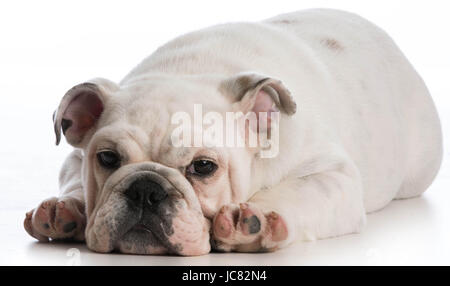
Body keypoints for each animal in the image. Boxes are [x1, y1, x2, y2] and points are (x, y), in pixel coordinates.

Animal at [22, 8, 442, 255]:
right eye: (108, 158)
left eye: (203, 167)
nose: (145, 188)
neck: (189, 72)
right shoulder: (75, 157)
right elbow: (75, 180)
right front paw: (67, 209)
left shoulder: (334, 176)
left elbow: (295, 191)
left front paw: (255, 220)